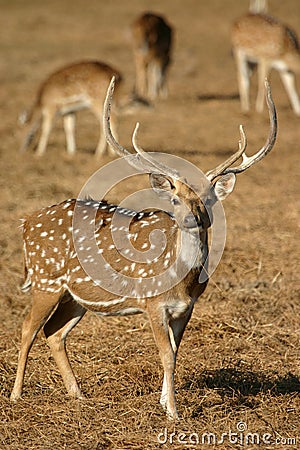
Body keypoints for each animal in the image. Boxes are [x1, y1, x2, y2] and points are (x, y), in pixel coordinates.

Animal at [9, 78, 276, 422]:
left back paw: (78, 395)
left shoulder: (186, 308)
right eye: (175, 199)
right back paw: (16, 395)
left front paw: (164, 402)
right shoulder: (152, 303)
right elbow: (166, 355)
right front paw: (173, 412)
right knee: (27, 328)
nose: (192, 218)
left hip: (75, 296)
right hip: (46, 279)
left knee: (54, 332)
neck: (182, 282)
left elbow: (175, 351)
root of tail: (26, 223)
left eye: (208, 199)